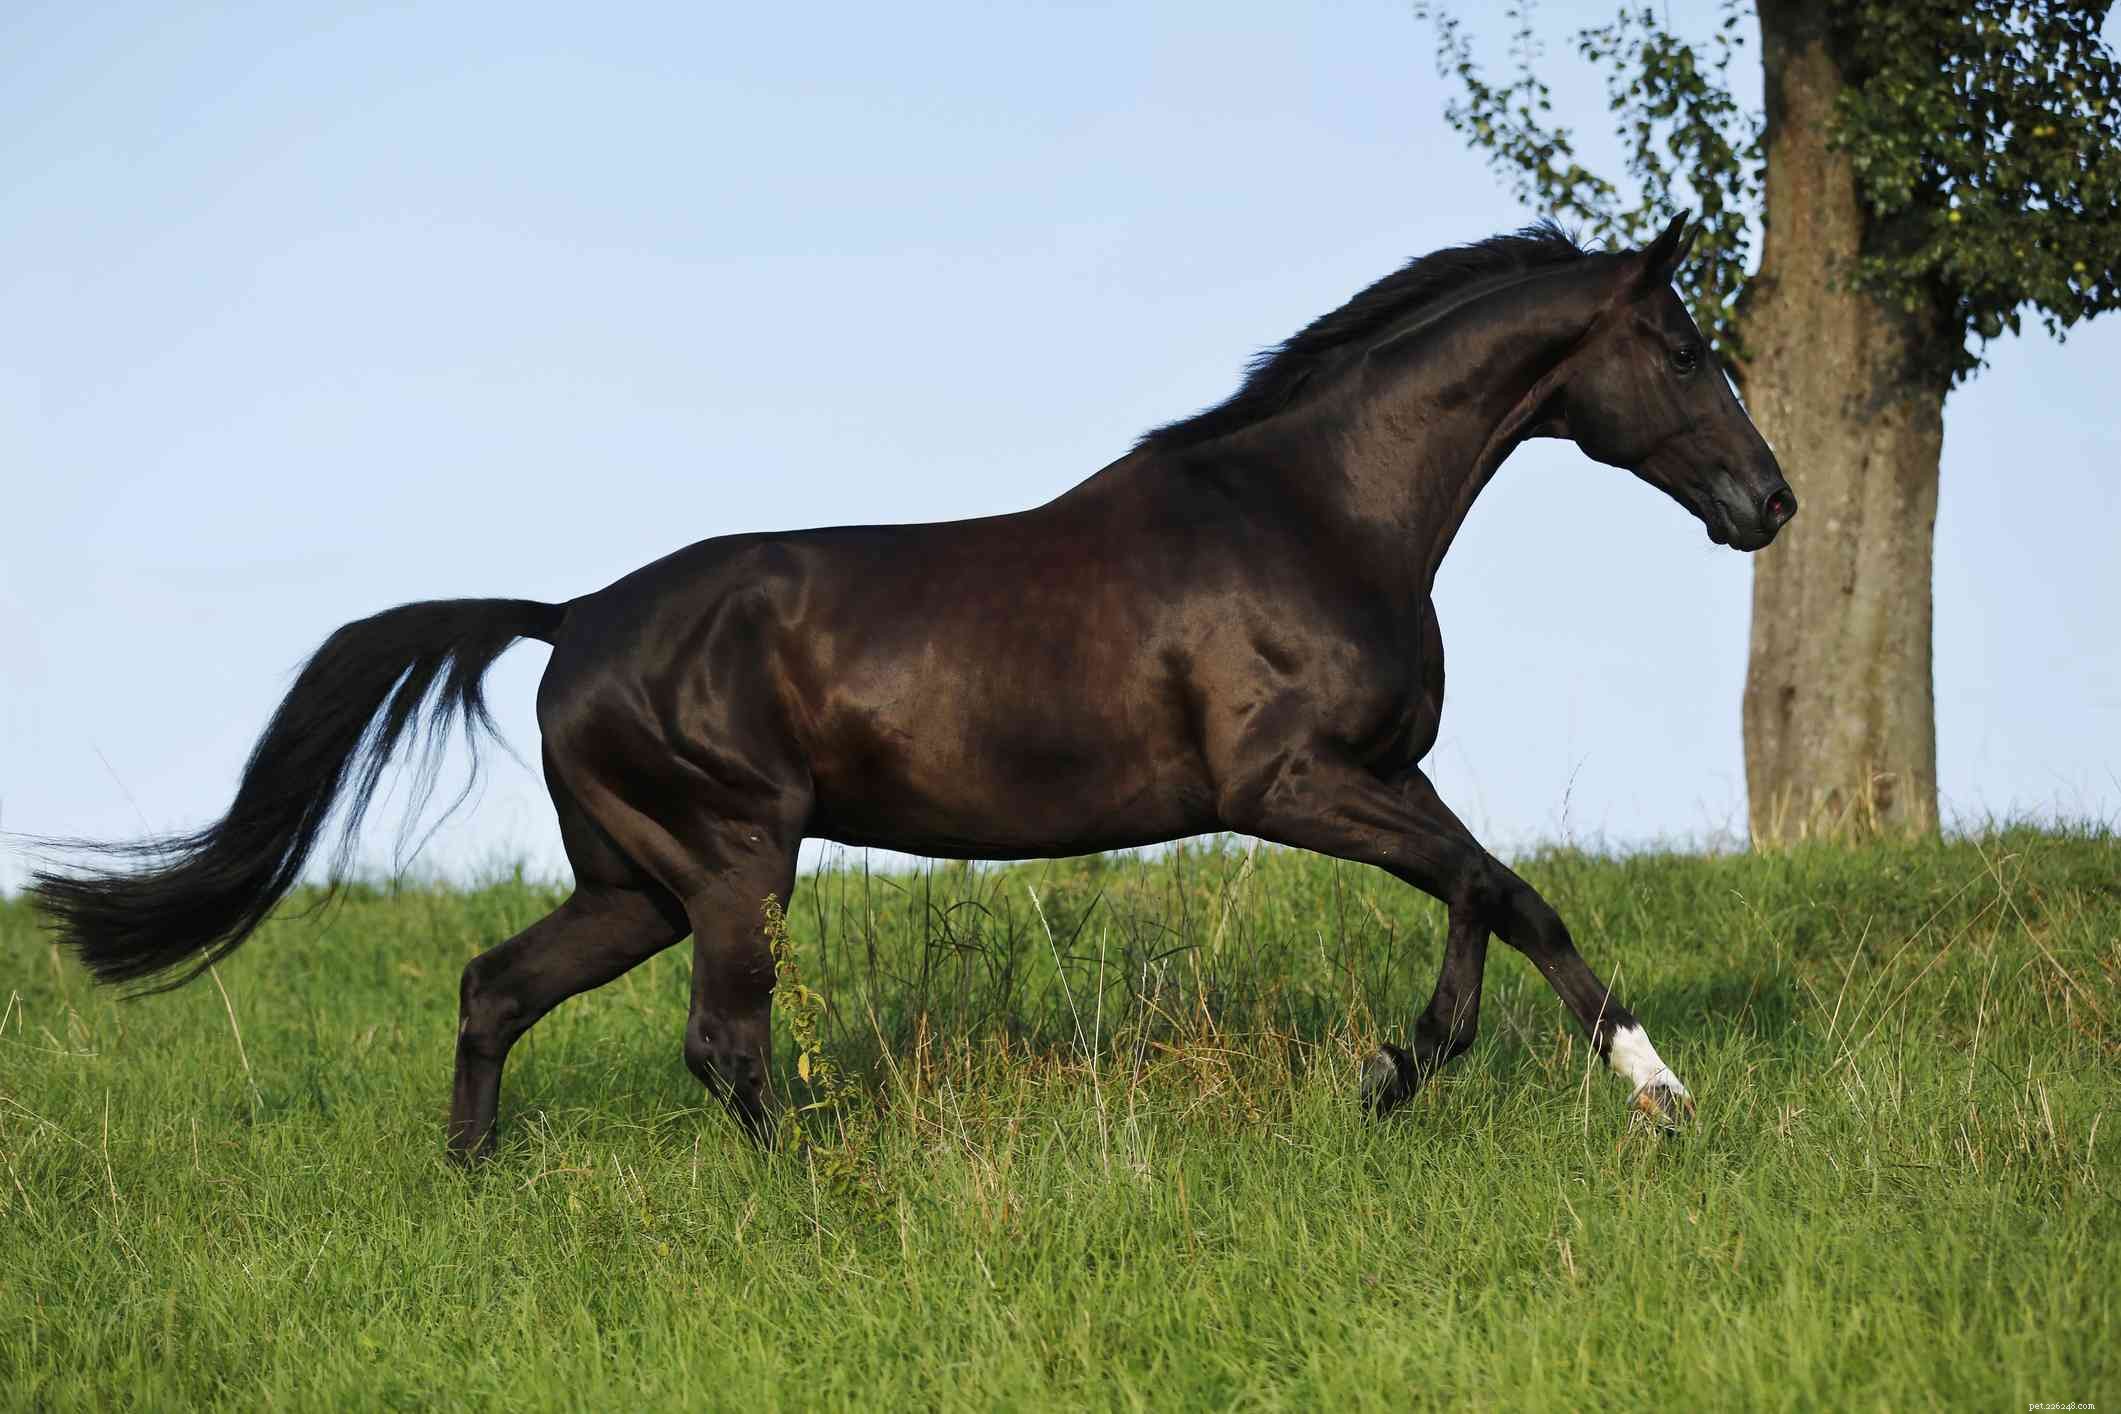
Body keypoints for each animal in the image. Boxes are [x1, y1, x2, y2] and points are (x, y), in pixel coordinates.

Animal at [30, 212, 1794, 1159]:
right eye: (1684, 346)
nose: (1768, 502)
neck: (1311, 510)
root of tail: (572, 618)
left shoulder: (1380, 774)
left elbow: (1487, 895)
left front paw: (1420, 1069)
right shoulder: (1288, 784)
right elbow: (1505, 888)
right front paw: (1634, 1086)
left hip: (638, 881)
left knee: (496, 988)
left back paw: (473, 1186)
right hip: (736, 856)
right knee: (721, 1044)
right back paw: (812, 1189)